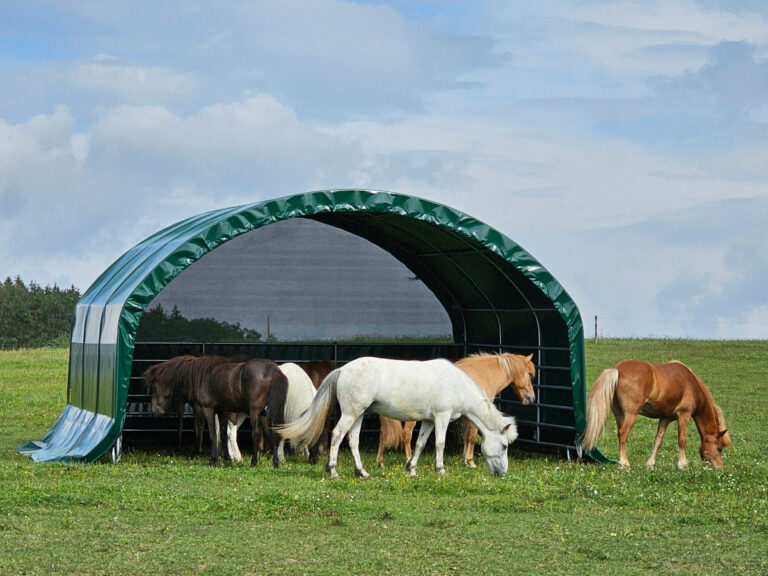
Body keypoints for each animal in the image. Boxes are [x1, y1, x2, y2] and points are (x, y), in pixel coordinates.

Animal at [280, 358, 520, 480]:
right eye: (505, 446)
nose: (502, 473)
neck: (456, 384)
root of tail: (343, 369)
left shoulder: (429, 421)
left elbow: (420, 444)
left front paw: (411, 469)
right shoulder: (442, 417)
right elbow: (440, 444)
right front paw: (441, 470)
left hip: (358, 415)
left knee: (353, 440)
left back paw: (362, 472)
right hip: (350, 413)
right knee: (338, 435)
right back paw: (333, 471)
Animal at [376, 352, 536, 468]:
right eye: (529, 374)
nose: (532, 398)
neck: (481, 376)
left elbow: (466, 437)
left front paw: (465, 460)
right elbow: (472, 437)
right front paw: (470, 462)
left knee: (383, 434)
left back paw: (380, 462)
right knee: (407, 435)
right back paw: (409, 460)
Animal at [584, 358, 728, 470]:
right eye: (719, 449)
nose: (720, 467)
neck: (691, 384)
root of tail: (616, 370)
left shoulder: (665, 418)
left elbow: (658, 441)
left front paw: (650, 464)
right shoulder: (684, 415)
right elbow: (682, 440)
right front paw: (683, 465)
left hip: (619, 414)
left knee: (620, 434)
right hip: (631, 414)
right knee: (623, 434)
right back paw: (624, 463)